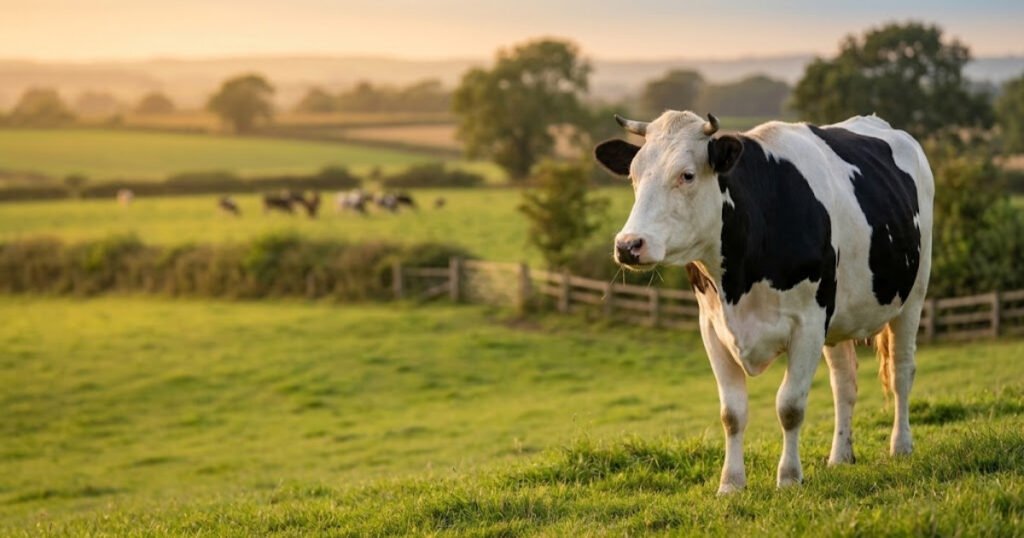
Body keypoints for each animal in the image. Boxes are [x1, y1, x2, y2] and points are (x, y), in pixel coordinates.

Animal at [595, 110, 933, 494]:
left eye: (687, 175)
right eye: (633, 175)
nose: (628, 245)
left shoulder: (808, 324)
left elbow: (790, 406)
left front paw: (788, 477)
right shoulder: (712, 327)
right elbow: (732, 413)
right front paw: (730, 483)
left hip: (914, 294)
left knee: (902, 371)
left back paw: (901, 446)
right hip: (839, 318)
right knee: (844, 382)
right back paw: (840, 456)